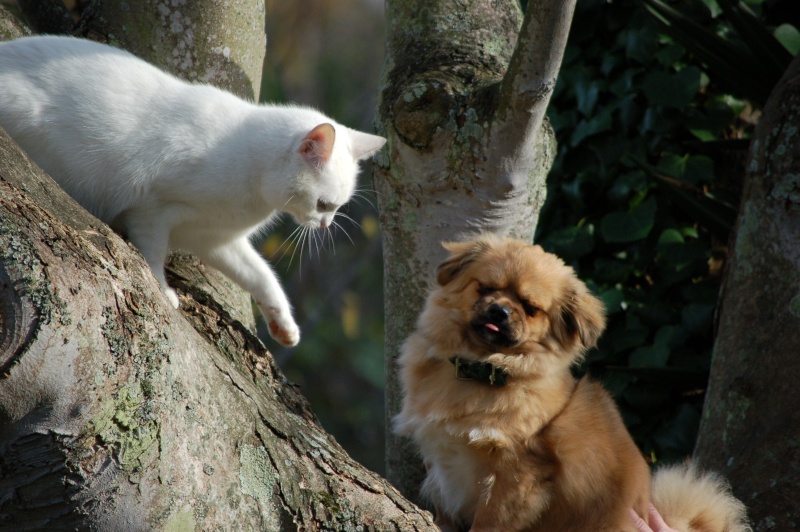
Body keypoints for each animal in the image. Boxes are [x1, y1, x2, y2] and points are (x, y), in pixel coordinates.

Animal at [0, 36, 388, 344]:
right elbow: (151, 254)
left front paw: (285, 326)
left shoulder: (215, 238)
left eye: (336, 208)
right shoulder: (152, 210)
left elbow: (263, 276)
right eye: (323, 204)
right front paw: (162, 290)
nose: (325, 225)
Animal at [396, 235, 752, 528]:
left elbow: (489, 521)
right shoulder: (440, 458)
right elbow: (444, 507)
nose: (500, 311)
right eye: (484, 289)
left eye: (530, 308)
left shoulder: (517, 472)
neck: (482, 368)